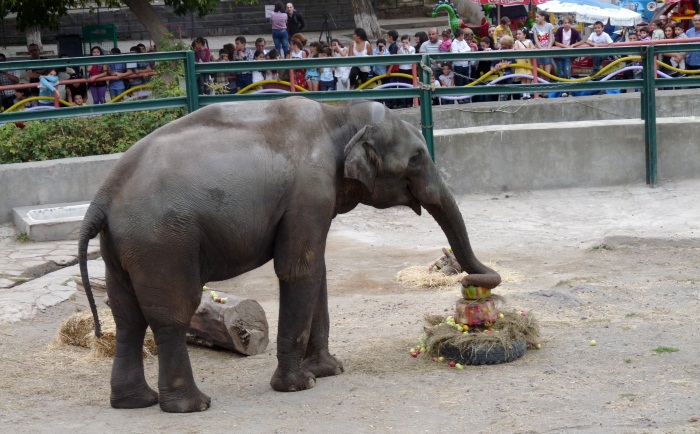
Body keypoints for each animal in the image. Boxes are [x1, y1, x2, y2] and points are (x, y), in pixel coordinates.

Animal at [79, 97, 500, 414]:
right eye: (415, 158)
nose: (470, 279)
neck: (338, 116)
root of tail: (103, 196)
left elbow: (318, 271)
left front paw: (330, 371)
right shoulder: (309, 192)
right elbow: (299, 271)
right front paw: (299, 385)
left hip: (123, 247)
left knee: (127, 316)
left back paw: (135, 402)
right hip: (163, 241)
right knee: (171, 315)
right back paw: (192, 405)